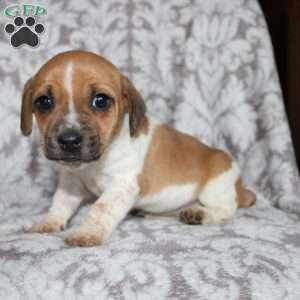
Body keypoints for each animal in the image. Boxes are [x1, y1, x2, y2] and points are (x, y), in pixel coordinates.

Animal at [21, 50, 255, 247]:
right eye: (44, 102)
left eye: (100, 101)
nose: (69, 140)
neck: (96, 163)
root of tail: (240, 187)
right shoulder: (72, 182)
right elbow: (60, 202)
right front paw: (50, 221)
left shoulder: (121, 186)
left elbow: (100, 209)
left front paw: (87, 233)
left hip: (215, 187)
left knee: (227, 209)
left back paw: (201, 214)